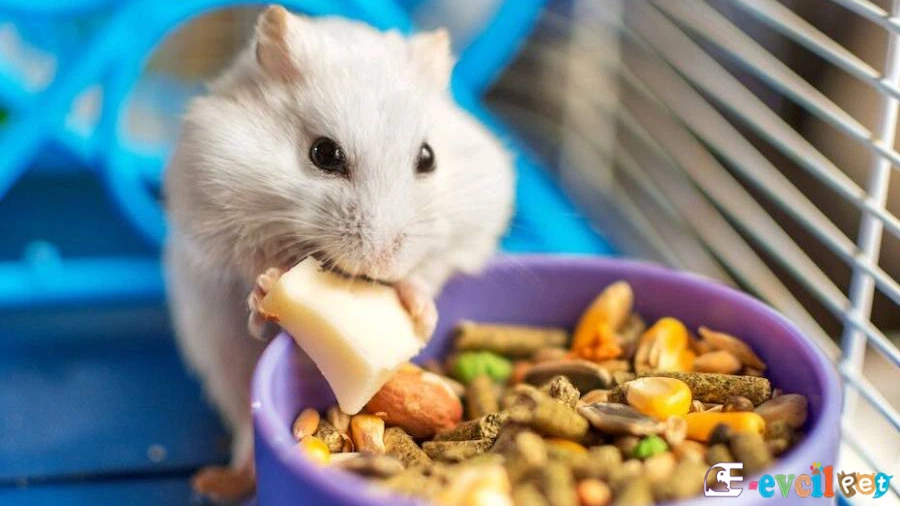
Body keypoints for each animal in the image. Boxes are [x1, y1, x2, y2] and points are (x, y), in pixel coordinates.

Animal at [162, 5, 515, 496]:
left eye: (428, 158)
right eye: (323, 154)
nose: (381, 263)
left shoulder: (471, 228)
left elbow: (428, 272)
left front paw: (421, 315)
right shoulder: (213, 213)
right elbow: (252, 266)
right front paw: (269, 286)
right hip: (219, 353)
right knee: (242, 420)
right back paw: (225, 478)